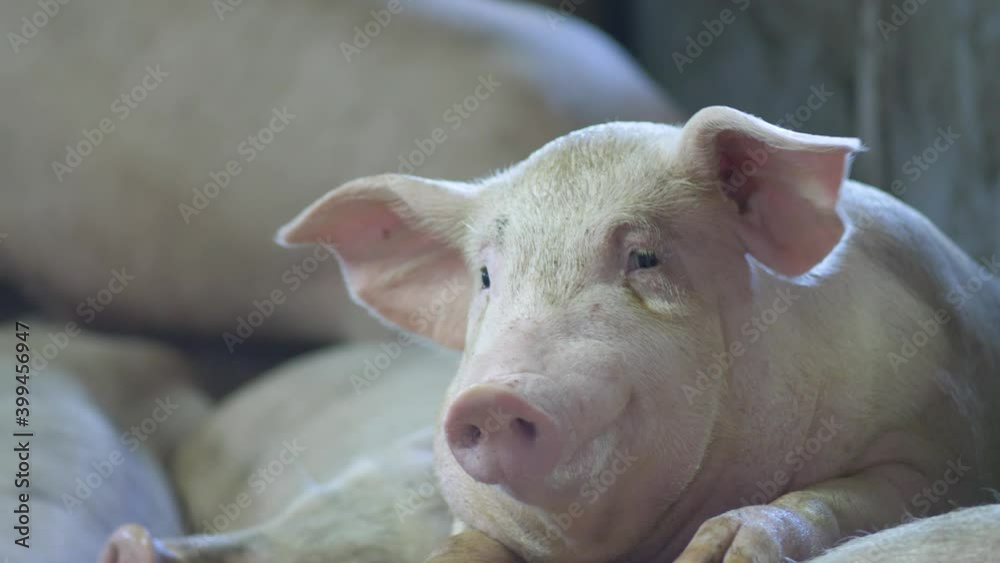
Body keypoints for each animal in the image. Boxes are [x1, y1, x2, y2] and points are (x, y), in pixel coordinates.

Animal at [276, 105, 1000, 562]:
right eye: (485, 276)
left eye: (645, 258)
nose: (493, 398)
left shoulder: (933, 441)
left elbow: (834, 499)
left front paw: (714, 554)